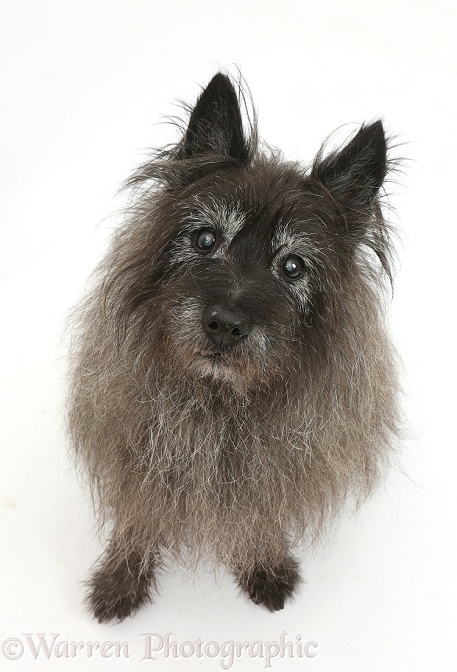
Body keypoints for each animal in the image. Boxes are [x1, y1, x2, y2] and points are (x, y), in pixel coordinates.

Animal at [67, 71, 400, 624]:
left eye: (292, 266)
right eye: (205, 239)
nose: (224, 325)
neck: (219, 399)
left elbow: (258, 520)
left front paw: (264, 566)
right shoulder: (137, 456)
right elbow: (138, 519)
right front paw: (121, 580)